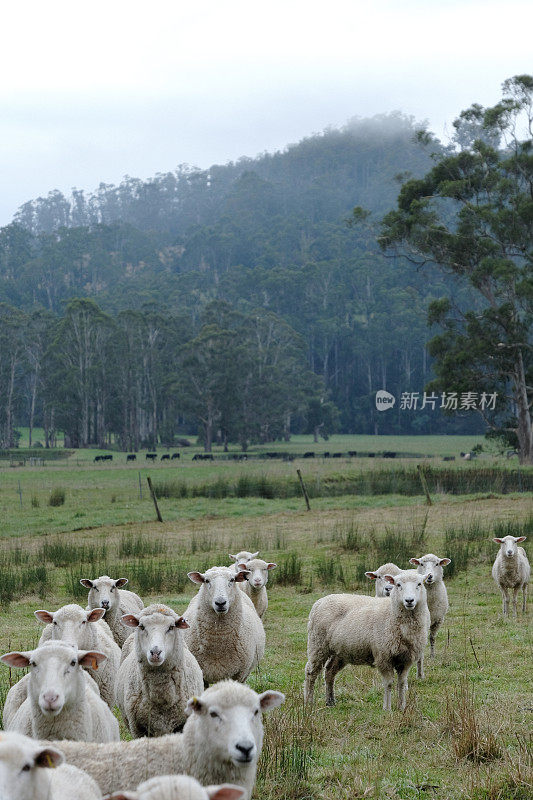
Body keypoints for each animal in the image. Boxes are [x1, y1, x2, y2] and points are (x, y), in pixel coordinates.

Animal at [304, 568, 428, 712]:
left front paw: (401, 707)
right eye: (398, 585)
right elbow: (389, 683)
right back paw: (309, 702)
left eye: (419, 584)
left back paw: (330, 701)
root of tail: (320, 601)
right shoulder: (383, 656)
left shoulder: (406, 659)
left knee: (329, 672)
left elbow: (401, 683)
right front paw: (387, 708)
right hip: (318, 644)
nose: (409, 600)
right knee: (311, 672)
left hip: (340, 651)